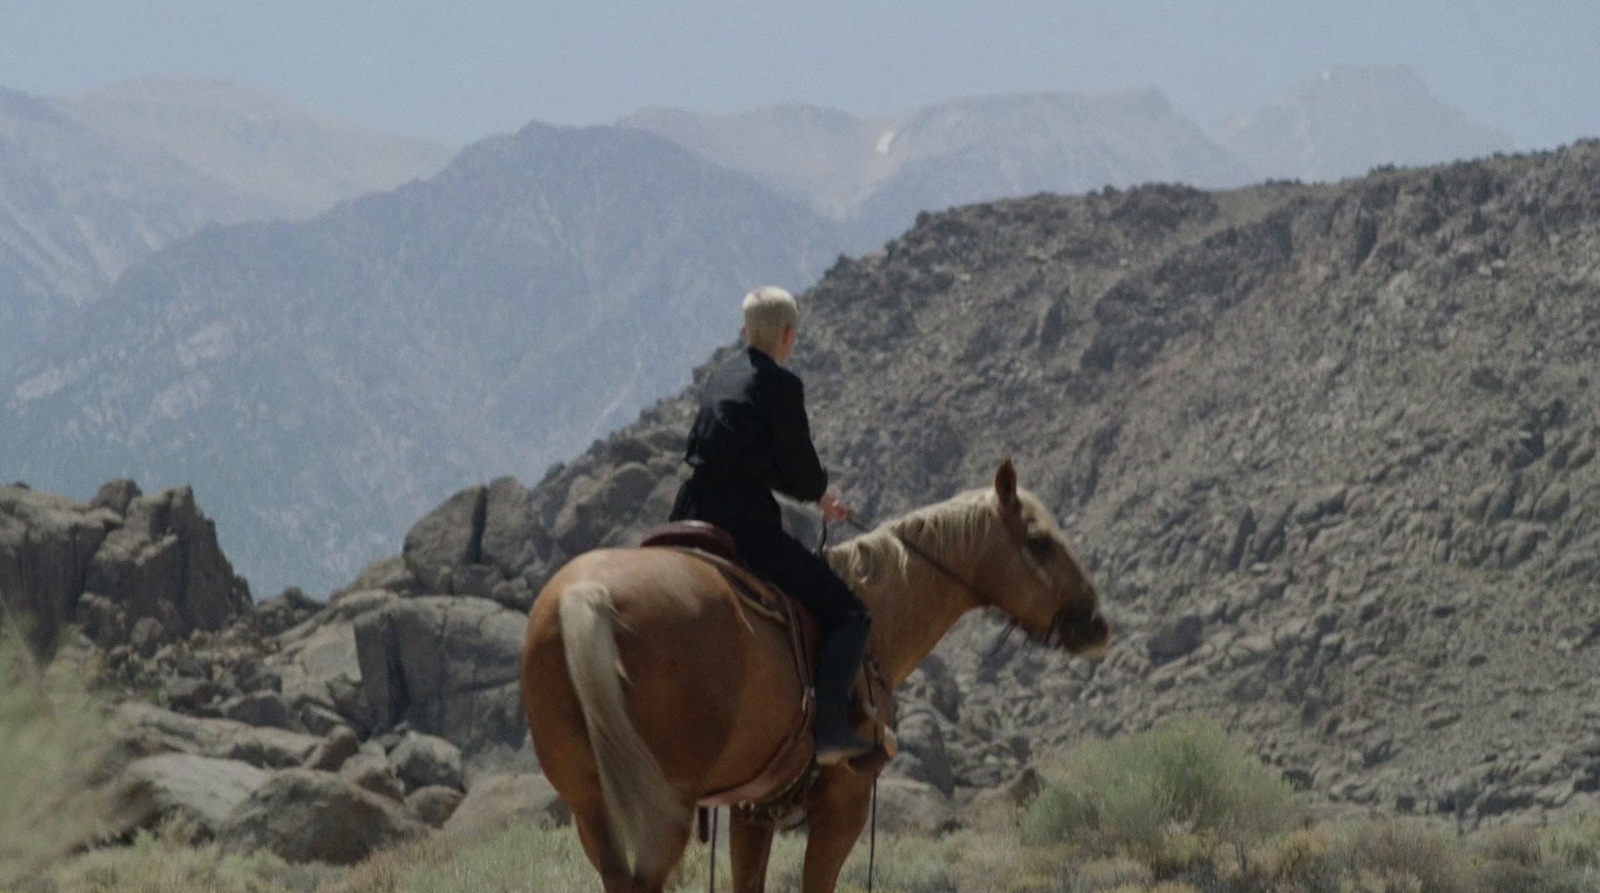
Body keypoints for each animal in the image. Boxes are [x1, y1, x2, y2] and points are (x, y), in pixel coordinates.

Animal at [524, 460, 1113, 893]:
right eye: (1039, 541)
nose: (1096, 624)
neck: (875, 614)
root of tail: (587, 596)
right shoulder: (843, 804)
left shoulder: (753, 810)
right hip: (664, 808)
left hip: (593, 808)